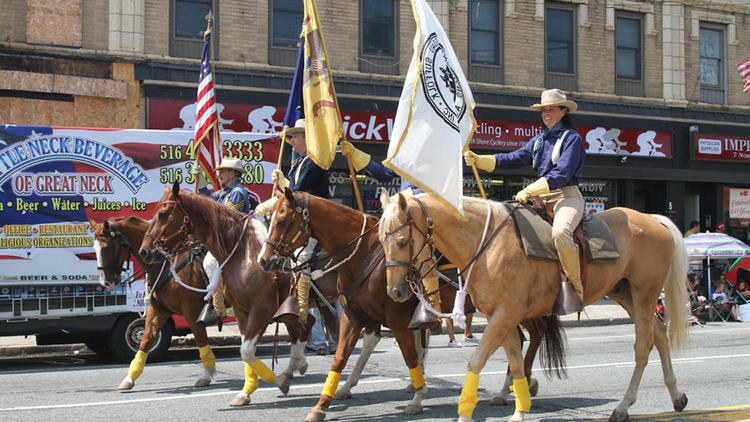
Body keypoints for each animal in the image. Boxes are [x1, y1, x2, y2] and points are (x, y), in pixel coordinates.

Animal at [91, 216, 219, 390]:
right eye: (94, 247)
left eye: (106, 247)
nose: (106, 282)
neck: (167, 265)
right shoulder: (158, 309)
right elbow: (146, 339)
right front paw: (129, 378)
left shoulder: (192, 311)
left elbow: (201, 340)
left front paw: (206, 374)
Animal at [138, 183, 312, 408]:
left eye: (163, 214)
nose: (144, 251)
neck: (245, 254)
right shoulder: (242, 311)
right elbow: (246, 351)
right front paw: (246, 392)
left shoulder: (262, 310)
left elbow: (245, 350)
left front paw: (278, 383)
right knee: (303, 326)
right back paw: (296, 365)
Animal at [256, 188, 568, 422]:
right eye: (270, 217)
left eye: (282, 220)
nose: (264, 260)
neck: (363, 255)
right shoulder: (356, 317)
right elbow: (342, 357)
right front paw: (323, 402)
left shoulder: (396, 319)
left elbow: (409, 356)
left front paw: (418, 396)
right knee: (521, 338)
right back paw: (511, 388)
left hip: (517, 306)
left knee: (534, 334)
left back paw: (517, 385)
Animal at [382, 194, 692, 422]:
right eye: (382, 240)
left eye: (403, 241)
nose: (395, 292)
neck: (486, 245)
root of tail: (653, 219)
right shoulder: (502, 316)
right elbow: (517, 361)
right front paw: (519, 409)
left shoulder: (505, 315)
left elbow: (477, 361)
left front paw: (465, 412)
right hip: (625, 293)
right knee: (659, 333)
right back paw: (676, 395)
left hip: (644, 293)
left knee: (643, 347)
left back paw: (623, 406)